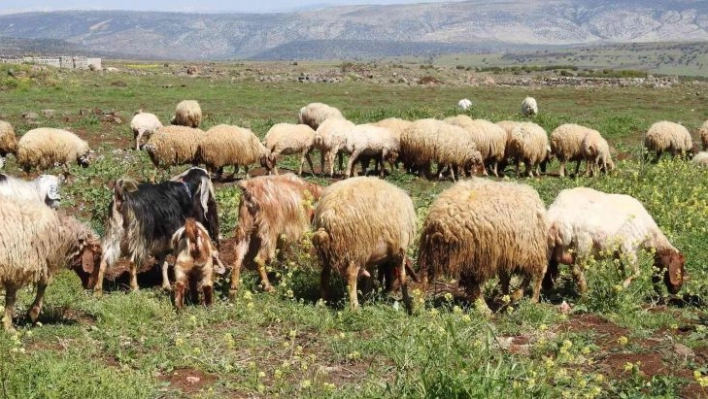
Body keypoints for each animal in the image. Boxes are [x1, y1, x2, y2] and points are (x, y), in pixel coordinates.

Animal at [94, 167, 220, 296]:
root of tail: (121, 198)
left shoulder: (162, 242)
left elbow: (163, 263)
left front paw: (166, 286)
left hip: (114, 234)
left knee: (103, 261)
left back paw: (97, 292)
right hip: (138, 238)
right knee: (132, 262)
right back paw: (135, 289)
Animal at [312, 177, 418, 314]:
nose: (390, 290)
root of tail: (329, 213)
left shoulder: (371, 254)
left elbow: (371, 275)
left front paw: (367, 298)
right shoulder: (401, 249)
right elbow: (402, 275)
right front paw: (408, 304)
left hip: (329, 251)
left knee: (324, 274)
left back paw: (323, 303)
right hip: (355, 247)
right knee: (351, 274)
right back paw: (355, 307)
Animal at [544, 189, 684, 296]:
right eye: (680, 269)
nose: (676, 290)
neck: (649, 232)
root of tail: (556, 216)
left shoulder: (617, 252)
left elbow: (621, 271)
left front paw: (619, 287)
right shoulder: (628, 247)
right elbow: (636, 273)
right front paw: (619, 288)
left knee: (549, 269)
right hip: (583, 243)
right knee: (577, 271)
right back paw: (584, 294)